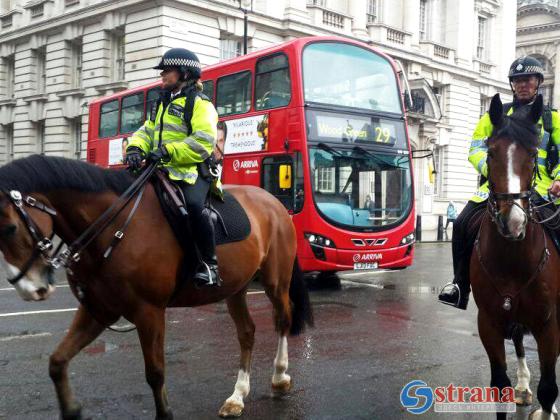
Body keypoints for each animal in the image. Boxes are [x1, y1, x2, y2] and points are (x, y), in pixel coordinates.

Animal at [0, 155, 312, 420]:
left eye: (10, 228)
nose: (28, 288)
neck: (113, 227)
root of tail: (274, 202)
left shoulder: (148, 311)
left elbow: (155, 372)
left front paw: (165, 413)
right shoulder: (98, 310)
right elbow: (57, 361)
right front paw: (72, 409)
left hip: (275, 281)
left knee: (283, 318)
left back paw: (279, 376)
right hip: (236, 287)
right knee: (247, 332)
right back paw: (237, 396)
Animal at [470, 93, 556, 418]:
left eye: (533, 155)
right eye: (491, 153)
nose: (513, 222)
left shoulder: (547, 322)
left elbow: (549, 388)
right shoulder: (490, 321)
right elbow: (499, 386)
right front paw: (516, 387)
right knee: (518, 341)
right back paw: (522, 385)